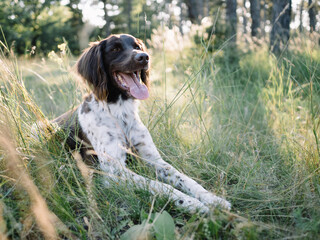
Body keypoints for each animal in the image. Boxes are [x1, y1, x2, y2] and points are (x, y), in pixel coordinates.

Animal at [53, 34, 231, 214]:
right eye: (115, 49)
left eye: (137, 46)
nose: (144, 57)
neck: (119, 112)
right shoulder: (113, 171)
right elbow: (160, 186)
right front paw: (191, 203)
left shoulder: (153, 159)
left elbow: (185, 179)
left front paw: (212, 199)